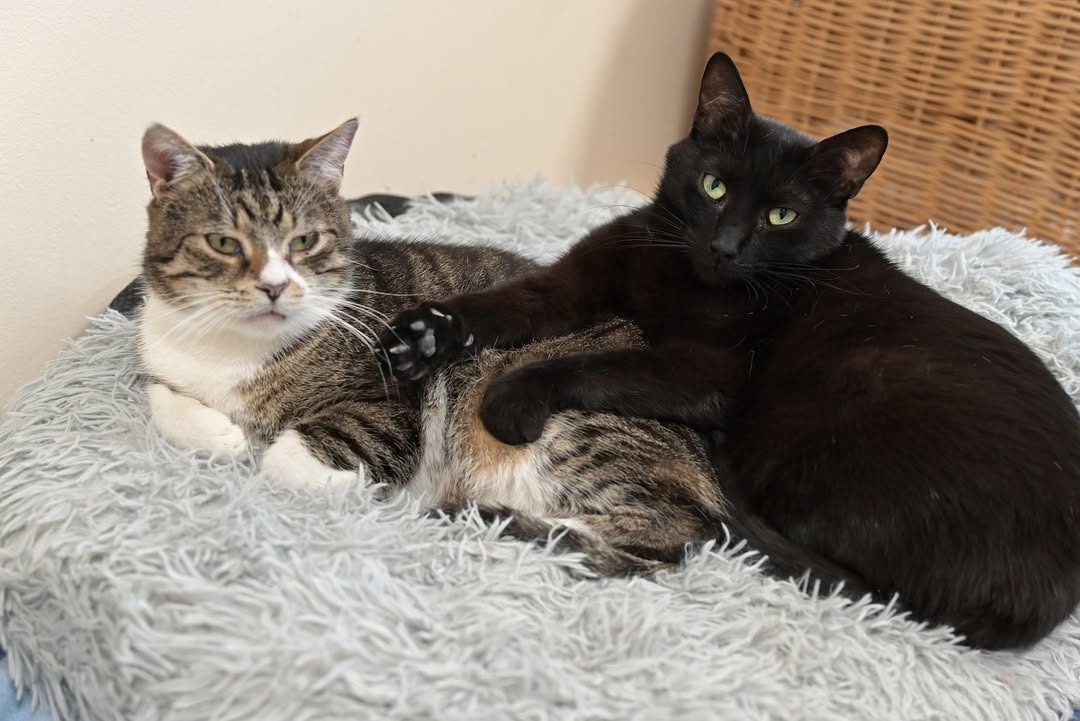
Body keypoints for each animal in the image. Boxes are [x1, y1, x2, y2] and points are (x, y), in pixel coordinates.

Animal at [136, 119, 727, 574]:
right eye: (223, 242)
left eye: (305, 241)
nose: (275, 287)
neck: (233, 353)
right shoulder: (161, 355)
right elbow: (156, 395)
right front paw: (220, 435)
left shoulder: (392, 406)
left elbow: (285, 460)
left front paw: (330, 484)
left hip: (575, 425)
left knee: (666, 536)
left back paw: (486, 517)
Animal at [380, 52, 1080, 649]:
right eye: (713, 186)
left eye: (781, 217)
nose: (727, 247)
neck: (676, 277)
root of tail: (1043, 601)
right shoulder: (569, 286)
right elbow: (498, 305)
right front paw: (423, 334)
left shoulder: (702, 375)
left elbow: (588, 362)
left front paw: (511, 400)